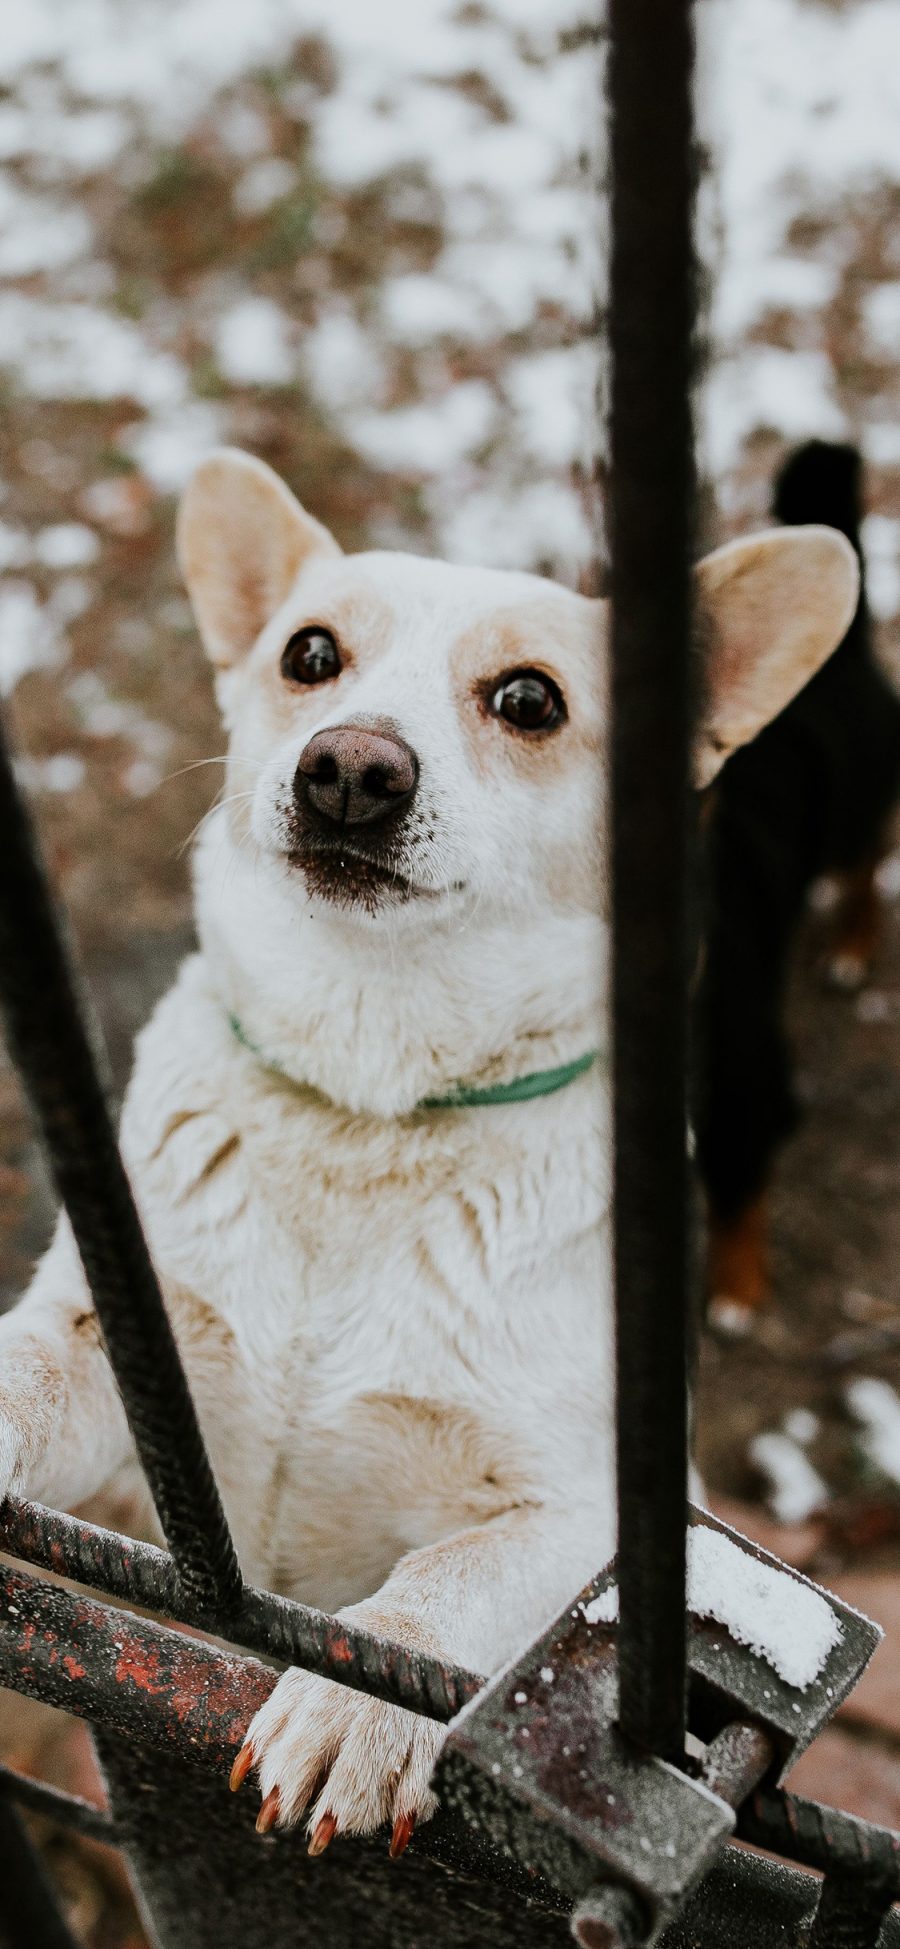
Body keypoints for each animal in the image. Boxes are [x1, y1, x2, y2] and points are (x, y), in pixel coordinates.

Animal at [0, 446, 861, 1855]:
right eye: (308, 654)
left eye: (529, 698)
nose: (349, 767)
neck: (365, 1108)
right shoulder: (118, 1367)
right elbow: (20, 1381)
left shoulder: (589, 1519)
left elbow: (444, 1581)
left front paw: (362, 1700)